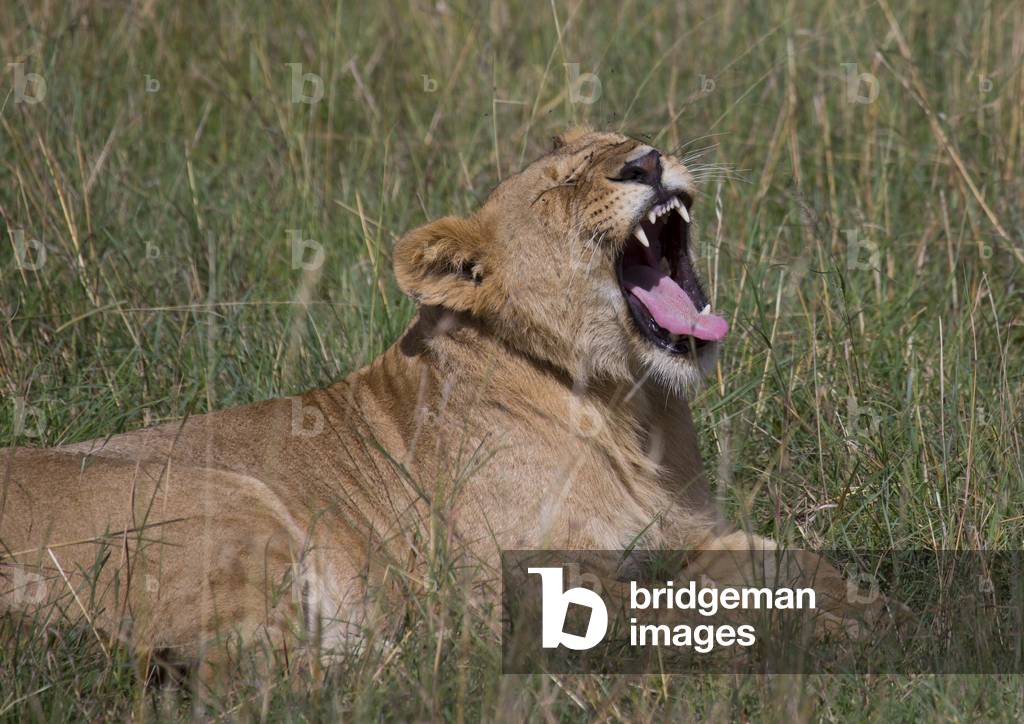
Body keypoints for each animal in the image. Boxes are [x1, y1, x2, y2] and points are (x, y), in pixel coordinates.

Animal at [0, 128, 887, 673]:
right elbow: (683, 611)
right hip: (232, 501)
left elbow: (783, 559)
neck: (626, 409)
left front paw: (871, 605)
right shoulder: (536, 589)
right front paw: (826, 636)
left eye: (626, 140)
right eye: (562, 188)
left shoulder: (689, 529)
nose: (646, 160)